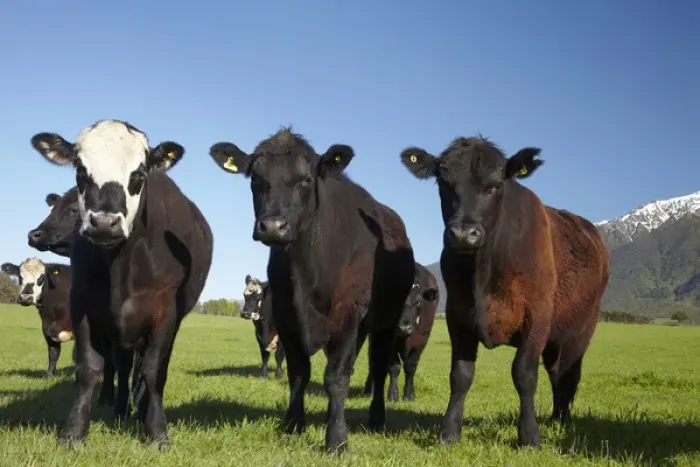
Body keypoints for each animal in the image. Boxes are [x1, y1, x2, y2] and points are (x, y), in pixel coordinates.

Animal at [30, 118, 214, 448]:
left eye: (138, 174)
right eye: (80, 170)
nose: (104, 223)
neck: (121, 269)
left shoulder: (164, 312)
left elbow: (153, 371)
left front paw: (156, 431)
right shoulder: (84, 305)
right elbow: (89, 368)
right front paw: (74, 432)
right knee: (124, 365)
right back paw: (120, 409)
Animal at [209, 128, 415, 454]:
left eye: (306, 179)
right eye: (255, 178)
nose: (272, 226)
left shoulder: (348, 314)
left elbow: (337, 378)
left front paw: (337, 439)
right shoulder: (287, 315)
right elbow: (299, 373)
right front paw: (293, 426)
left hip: (385, 320)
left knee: (380, 367)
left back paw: (376, 418)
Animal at [359, 261, 439, 402]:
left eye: (418, 302)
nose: (404, 328)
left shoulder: (421, 341)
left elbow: (410, 367)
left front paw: (409, 395)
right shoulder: (391, 342)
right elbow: (394, 367)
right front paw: (392, 395)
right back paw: (370, 391)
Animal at [399, 135, 610, 447]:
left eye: (496, 184)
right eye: (443, 183)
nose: (463, 234)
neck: (484, 270)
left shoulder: (538, 318)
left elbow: (524, 374)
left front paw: (529, 435)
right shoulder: (457, 316)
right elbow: (461, 374)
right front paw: (449, 432)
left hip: (580, 330)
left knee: (567, 373)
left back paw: (562, 419)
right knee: (556, 371)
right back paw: (554, 417)